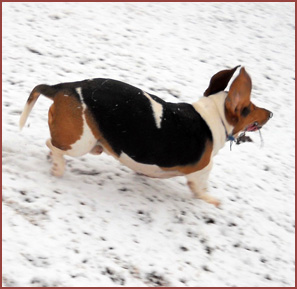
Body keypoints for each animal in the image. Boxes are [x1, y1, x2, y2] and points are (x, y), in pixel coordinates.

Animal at [19, 66, 272, 205]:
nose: (270, 113)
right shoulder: (202, 169)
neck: (212, 116)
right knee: (52, 145)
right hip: (81, 143)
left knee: (53, 145)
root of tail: (65, 87)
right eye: (251, 106)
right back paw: (58, 167)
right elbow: (202, 188)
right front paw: (212, 201)